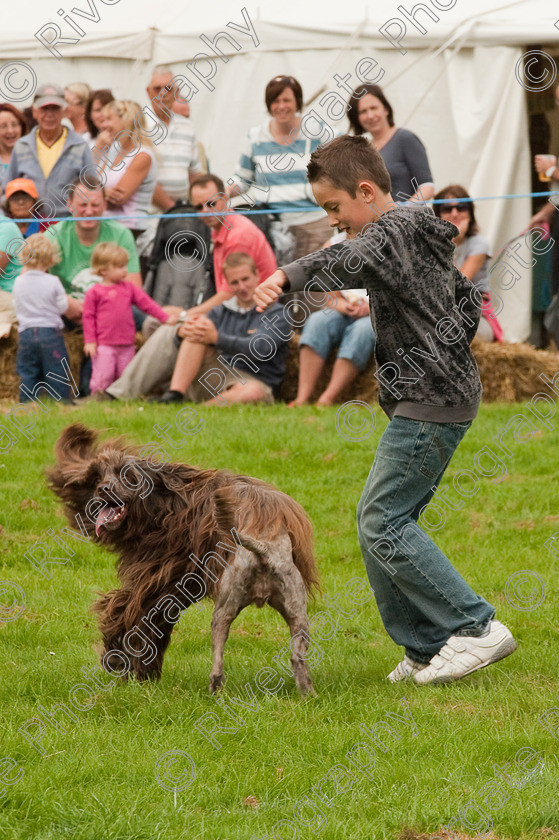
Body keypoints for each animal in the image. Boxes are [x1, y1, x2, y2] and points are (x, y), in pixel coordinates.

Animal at [47, 424, 320, 692]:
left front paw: (125, 662)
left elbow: (127, 610)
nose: (102, 489)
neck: (165, 507)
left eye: (127, 474)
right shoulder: (174, 581)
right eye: (98, 476)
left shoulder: (164, 575)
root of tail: (263, 551)